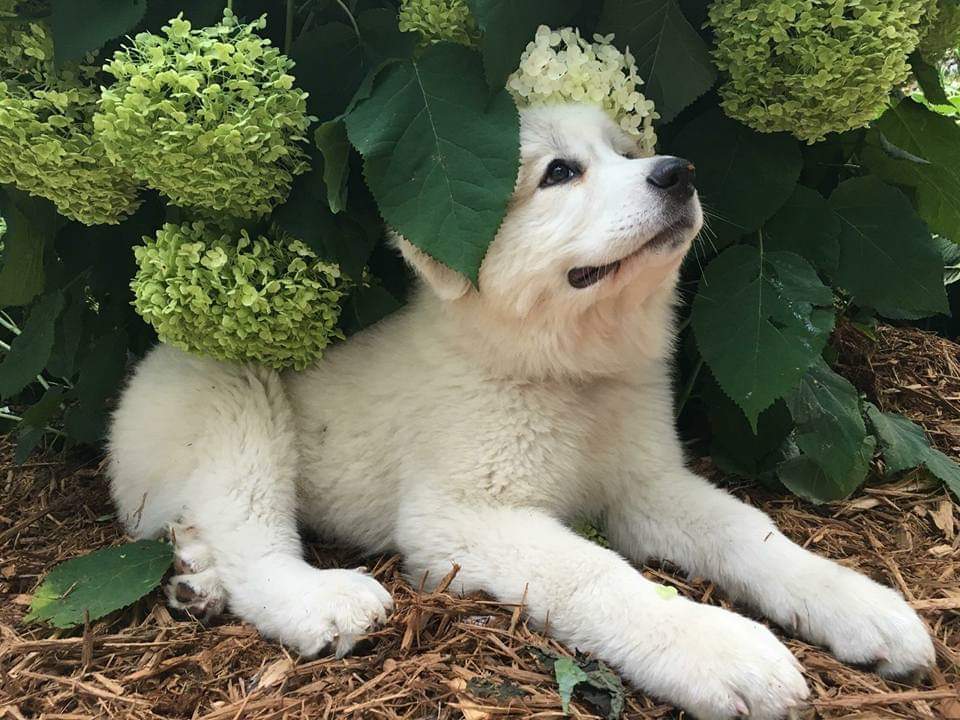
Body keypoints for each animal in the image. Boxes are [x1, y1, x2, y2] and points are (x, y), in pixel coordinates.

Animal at [109, 102, 932, 720]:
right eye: (560, 173)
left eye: (627, 151)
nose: (678, 172)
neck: (568, 375)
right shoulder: (464, 516)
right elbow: (599, 575)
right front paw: (721, 649)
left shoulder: (647, 485)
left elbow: (748, 531)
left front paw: (863, 606)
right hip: (238, 397)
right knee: (253, 538)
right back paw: (319, 601)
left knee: (205, 527)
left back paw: (196, 581)